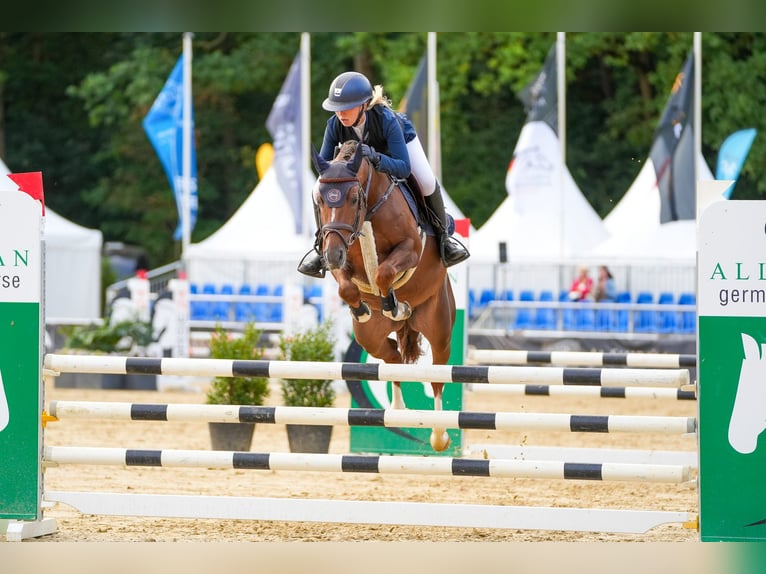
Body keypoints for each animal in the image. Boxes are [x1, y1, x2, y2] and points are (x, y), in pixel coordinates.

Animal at [311, 140, 456, 451]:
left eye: (354, 198)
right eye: (319, 200)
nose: (332, 254)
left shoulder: (410, 249)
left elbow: (383, 273)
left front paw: (394, 304)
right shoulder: (342, 257)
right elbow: (347, 286)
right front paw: (362, 308)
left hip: (439, 327)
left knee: (437, 377)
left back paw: (439, 435)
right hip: (370, 337)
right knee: (393, 357)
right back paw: (398, 410)